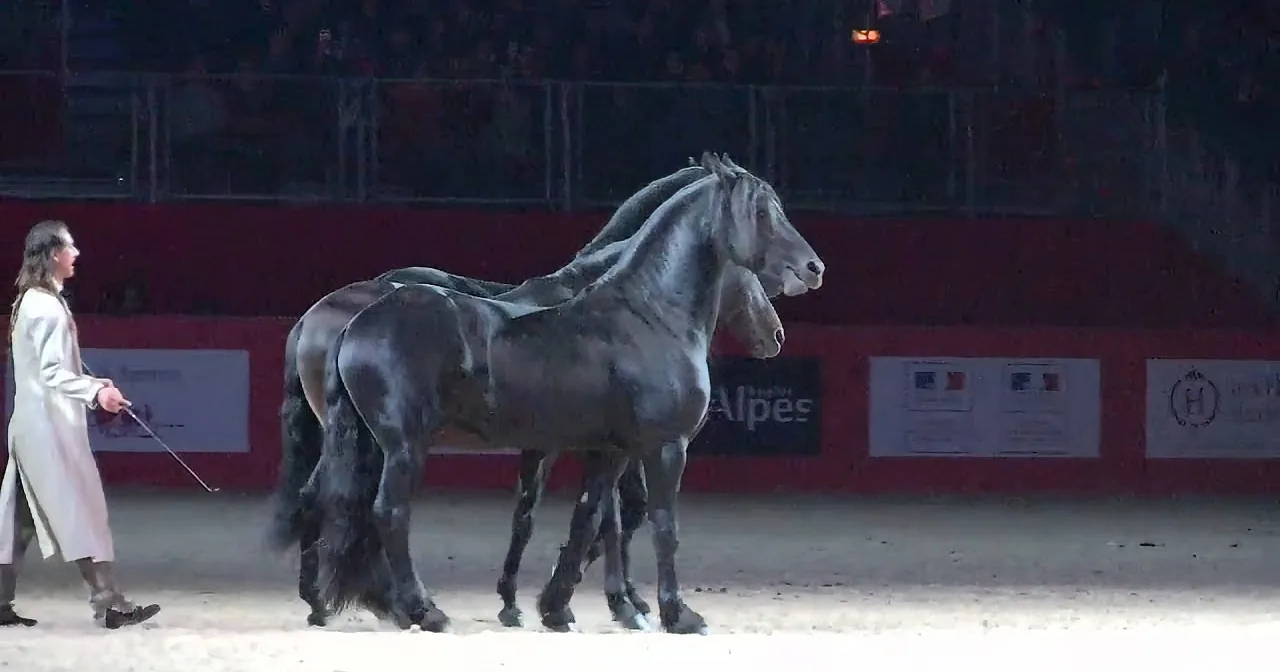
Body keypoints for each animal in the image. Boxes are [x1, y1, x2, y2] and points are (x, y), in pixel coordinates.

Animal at [310, 152, 824, 634]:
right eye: (761, 211)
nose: (812, 268)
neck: (649, 316)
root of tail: (358, 321)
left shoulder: (609, 452)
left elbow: (587, 520)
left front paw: (557, 608)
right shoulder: (665, 447)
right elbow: (663, 526)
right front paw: (677, 615)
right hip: (404, 447)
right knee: (390, 514)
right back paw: (424, 611)